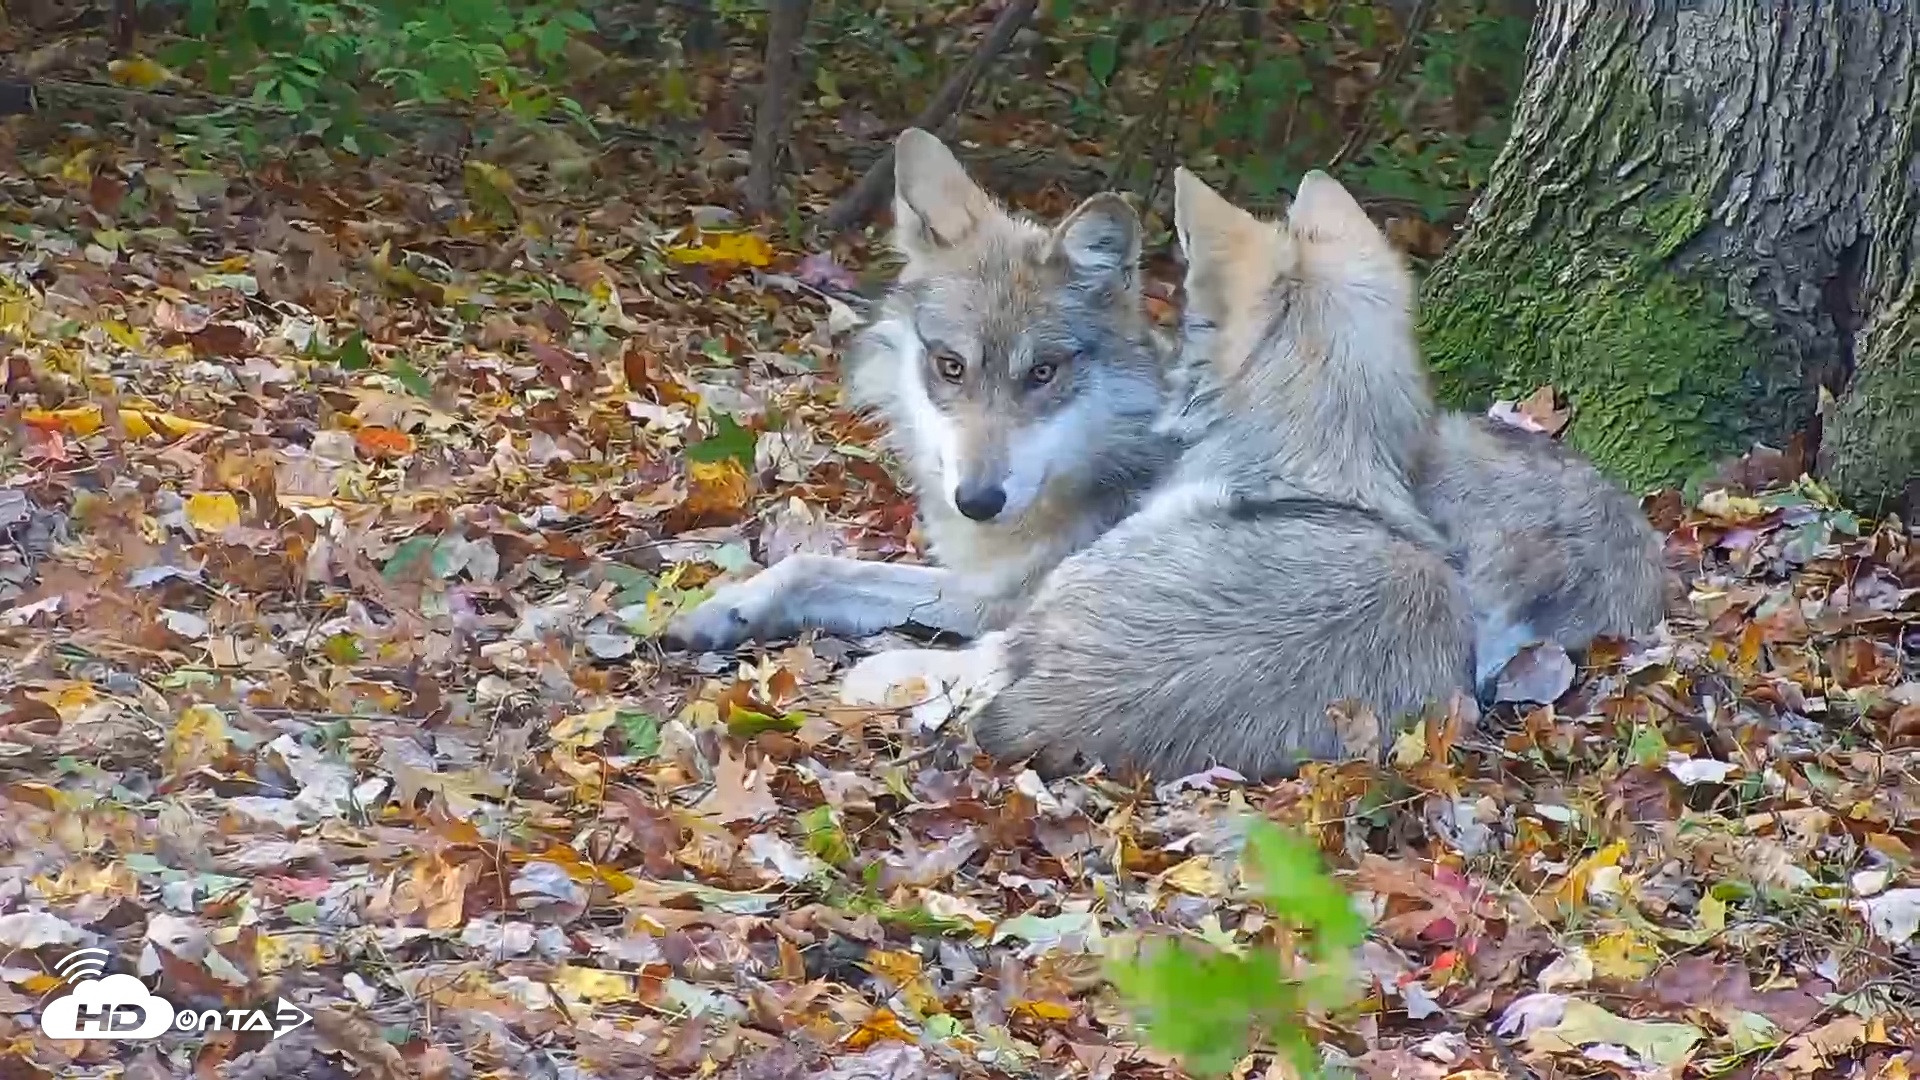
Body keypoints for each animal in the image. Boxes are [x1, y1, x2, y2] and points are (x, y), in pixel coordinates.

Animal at [664, 129, 1175, 652]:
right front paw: (725, 608)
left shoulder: (1011, 600)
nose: (977, 503)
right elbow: (813, 565)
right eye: (952, 367)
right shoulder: (988, 591)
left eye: (1042, 373)